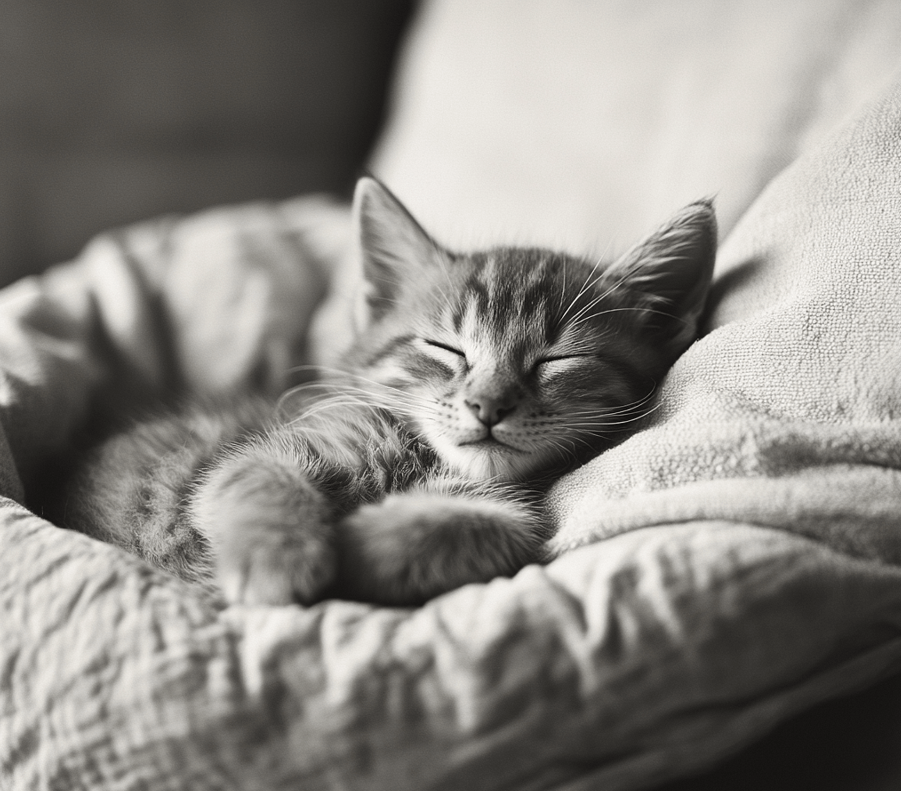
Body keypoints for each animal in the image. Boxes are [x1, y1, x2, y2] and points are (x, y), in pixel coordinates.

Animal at [61, 179, 716, 608]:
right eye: (447, 349)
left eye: (558, 359)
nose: (488, 406)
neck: (420, 454)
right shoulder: (267, 445)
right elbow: (255, 476)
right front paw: (278, 558)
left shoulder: (504, 507)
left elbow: (494, 528)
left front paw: (356, 546)